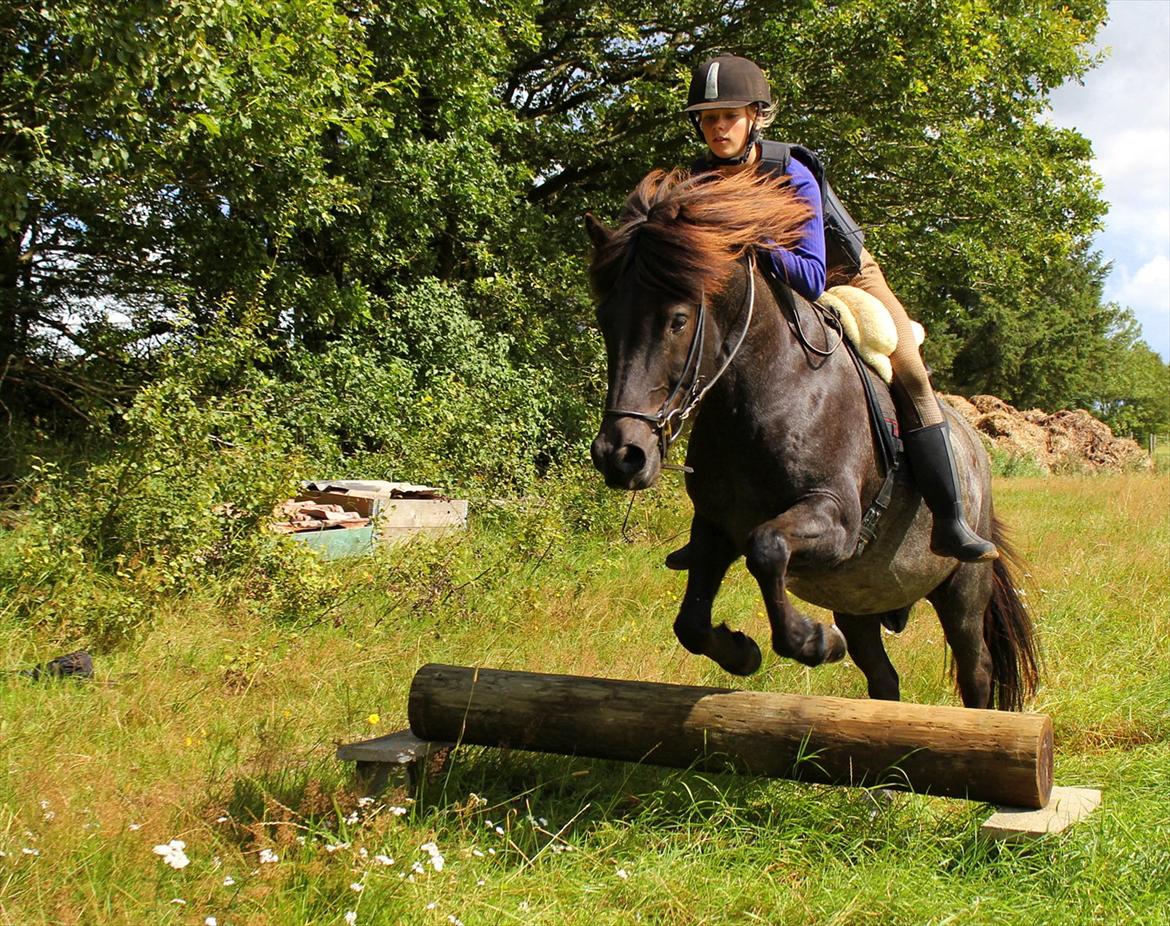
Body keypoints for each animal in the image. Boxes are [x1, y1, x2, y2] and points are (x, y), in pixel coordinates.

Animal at [589, 166, 1038, 711]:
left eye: (677, 319)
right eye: (606, 320)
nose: (621, 455)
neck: (766, 390)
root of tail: (975, 448)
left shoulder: (836, 521)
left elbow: (767, 548)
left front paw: (814, 642)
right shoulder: (717, 526)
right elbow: (692, 622)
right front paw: (742, 653)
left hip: (962, 588)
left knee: (976, 669)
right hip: (859, 598)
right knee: (882, 677)